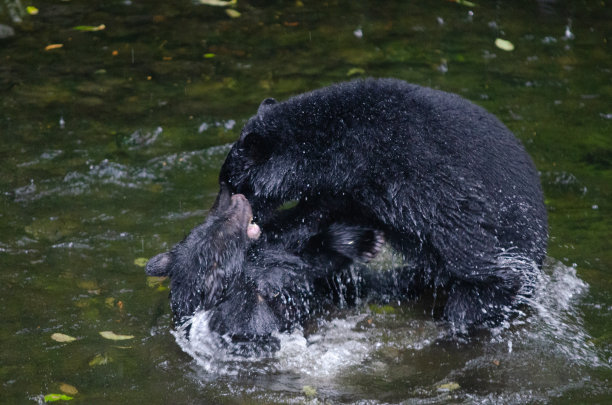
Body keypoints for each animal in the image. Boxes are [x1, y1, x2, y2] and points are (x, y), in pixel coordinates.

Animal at [145, 185, 382, 352]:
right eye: (227, 221)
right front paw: (366, 243)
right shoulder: (256, 313)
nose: (238, 197)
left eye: (211, 220)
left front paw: (358, 240)